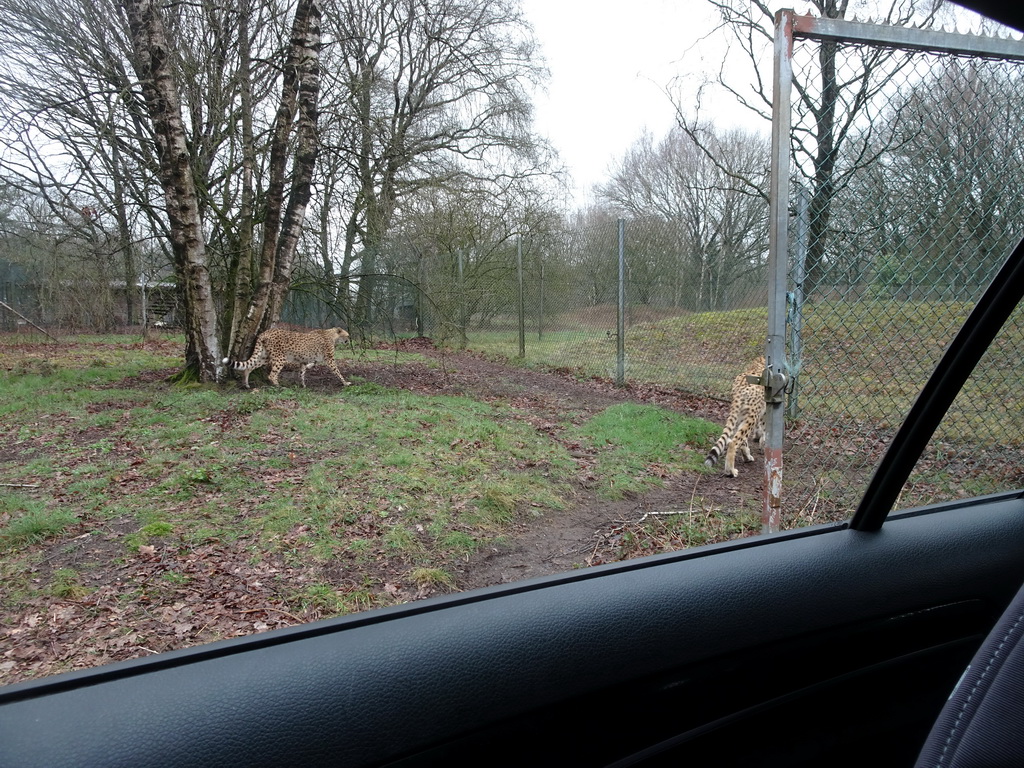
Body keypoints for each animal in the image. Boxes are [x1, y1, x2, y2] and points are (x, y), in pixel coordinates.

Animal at [224, 327, 352, 391]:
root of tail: (266, 332)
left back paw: (246, 384)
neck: (332, 335)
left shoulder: (304, 360)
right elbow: (338, 372)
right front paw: (345, 383)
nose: (348, 340)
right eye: (347, 335)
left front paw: (303, 385)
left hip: (264, 357)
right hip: (280, 358)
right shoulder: (330, 360)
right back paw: (279, 386)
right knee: (272, 375)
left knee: (248, 368)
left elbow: (303, 372)